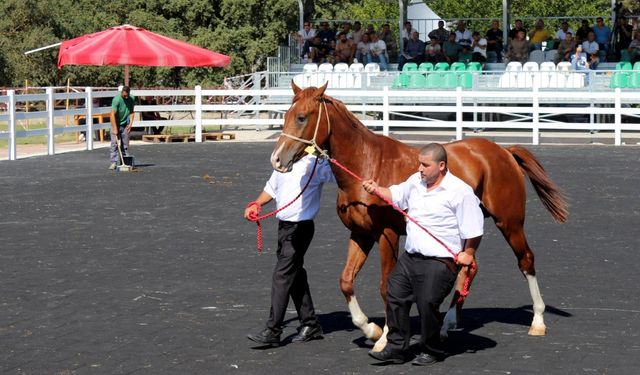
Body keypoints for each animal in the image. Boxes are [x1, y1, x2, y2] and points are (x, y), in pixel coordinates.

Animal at [268, 83, 564, 352]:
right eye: (286, 114)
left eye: (302, 117)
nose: (277, 160)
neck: (367, 164)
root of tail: (503, 152)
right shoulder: (361, 234)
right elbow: (346, 281)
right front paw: (370, 329)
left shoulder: (386, 235)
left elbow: (385, 286)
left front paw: (386, 337)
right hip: (469, 229)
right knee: (469, 266)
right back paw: (447, 325)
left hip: (509, 222)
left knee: (526, 260)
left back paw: (537, 321)